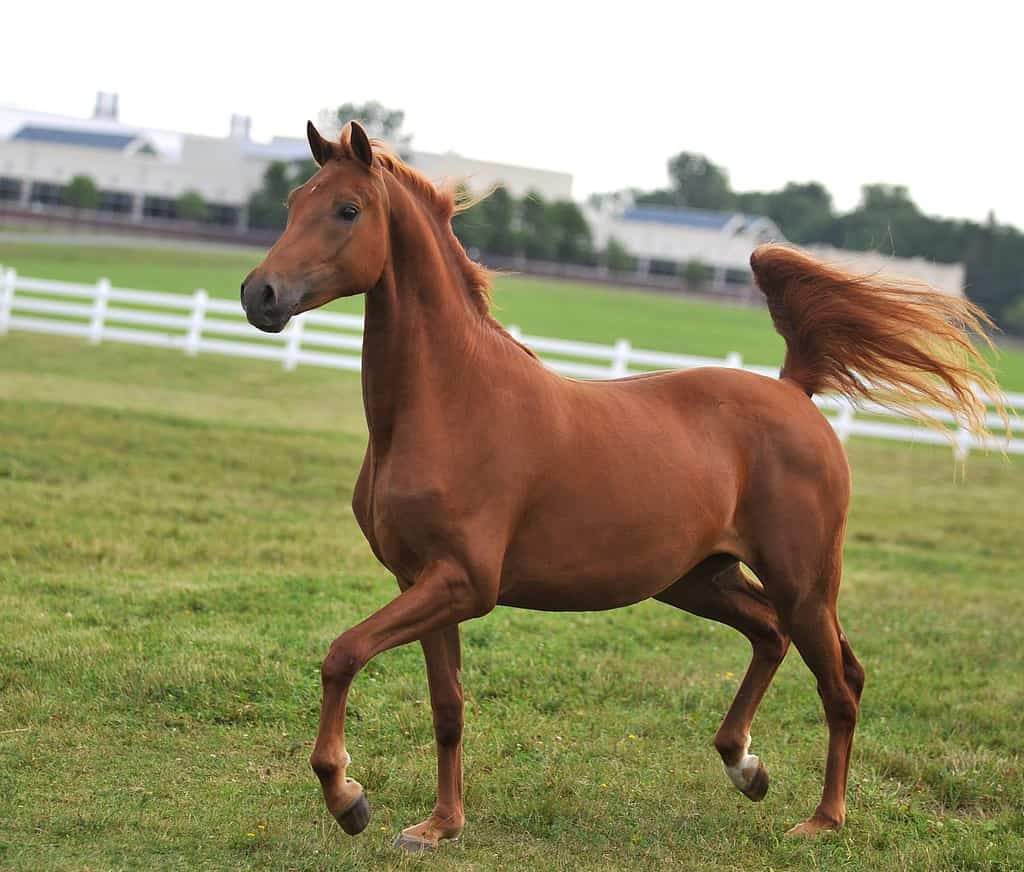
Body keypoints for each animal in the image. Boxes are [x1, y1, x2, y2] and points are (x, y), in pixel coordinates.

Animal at [239, 119, 999, 847]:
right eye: (293, 202)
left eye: (347, 209)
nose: (259, 294)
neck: (450, 401)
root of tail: (794, 391)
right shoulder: (421, 582)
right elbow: (447, 706)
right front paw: (439, 827)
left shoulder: (462, 582)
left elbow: (342, 654)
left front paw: (348, 798)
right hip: (701, 579)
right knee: (774, 638)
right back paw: (744, 766)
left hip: (803, 582)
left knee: (839, 686)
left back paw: (822, 820)